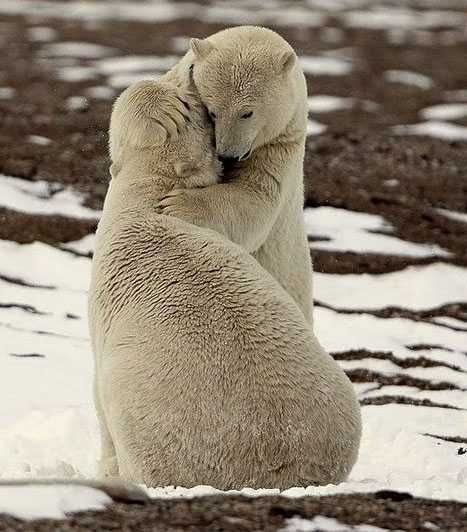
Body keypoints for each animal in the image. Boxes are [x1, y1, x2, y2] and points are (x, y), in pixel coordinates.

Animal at [159, 27, 316, 326]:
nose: (228, 155)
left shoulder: (280, 145)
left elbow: (255, 200)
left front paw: (177, 204)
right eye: (212, 111)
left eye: (247, 112)